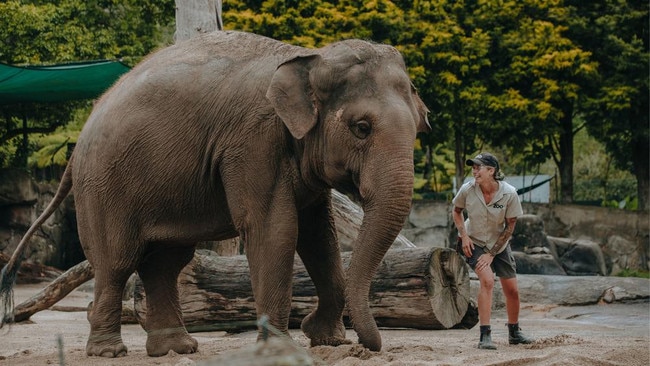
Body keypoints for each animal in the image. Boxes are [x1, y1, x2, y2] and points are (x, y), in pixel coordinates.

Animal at [1, 30, 430, 358]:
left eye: (418, 127)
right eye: (361, 128)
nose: (369, 346)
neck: (307, 57)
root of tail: (76, 146)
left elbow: (319, 235)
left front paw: (327, 341)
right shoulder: (252, 142)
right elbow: (276, 230)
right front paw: (282, 350)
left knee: (165, 262)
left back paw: (176, 349)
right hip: (104, 187)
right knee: (117, 262)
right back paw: (111, 352)